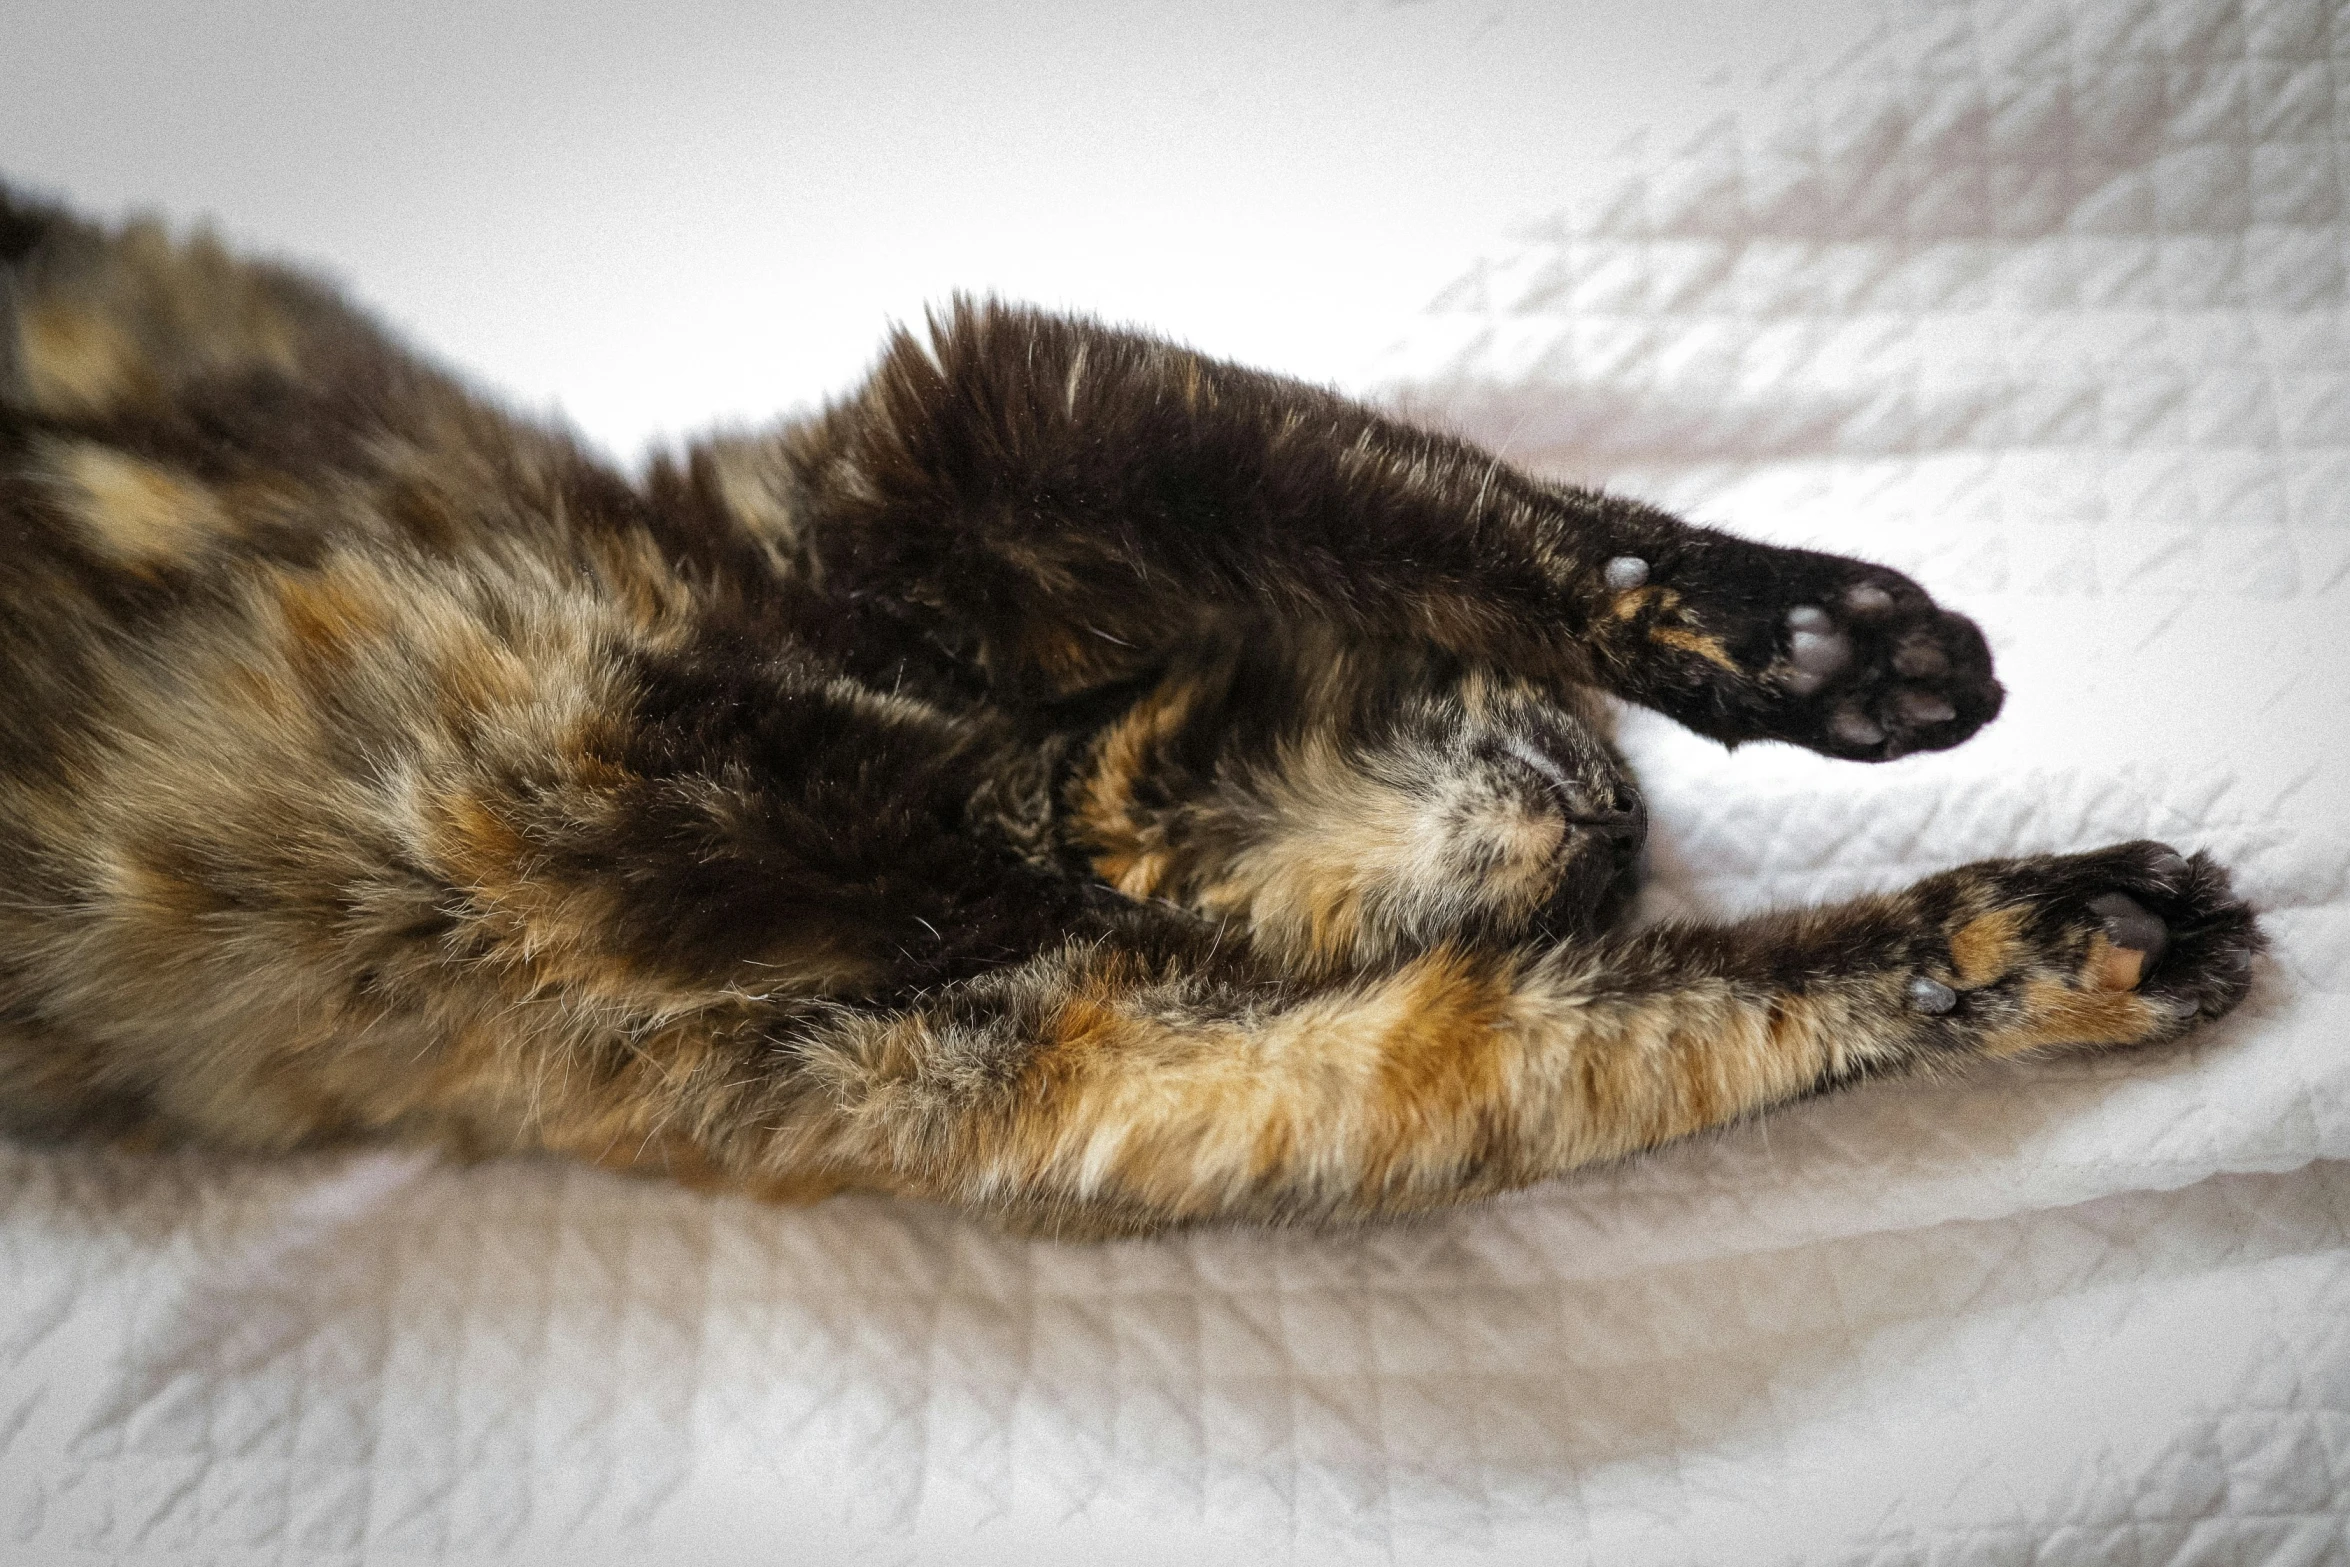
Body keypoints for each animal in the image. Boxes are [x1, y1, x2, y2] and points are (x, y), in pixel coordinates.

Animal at [0, 186, 2256, 1240]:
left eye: (1617, 865)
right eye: (1550, 717)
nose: (1612, 817)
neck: (1029, 816)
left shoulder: (1194, 1070)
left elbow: (1720, 1005)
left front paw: (2055, 934)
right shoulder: (938, 449)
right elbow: (1444, 511)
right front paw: (1818, 646)